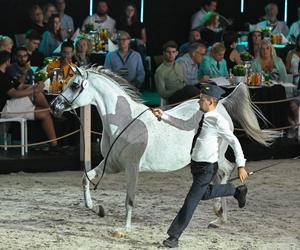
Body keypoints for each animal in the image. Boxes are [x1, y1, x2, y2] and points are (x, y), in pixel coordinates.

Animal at [51, 66, 274, 232]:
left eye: (74, 85)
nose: (54, 106)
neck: (124, 121)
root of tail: (221, 104)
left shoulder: (132, 167)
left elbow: (129, 199)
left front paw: (125, 229)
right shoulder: (112, 164)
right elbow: (85, 178)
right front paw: (97, 209)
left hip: (215, 154)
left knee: (225, 170)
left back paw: (220, 212)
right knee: (223, 174)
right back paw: (219, 219)